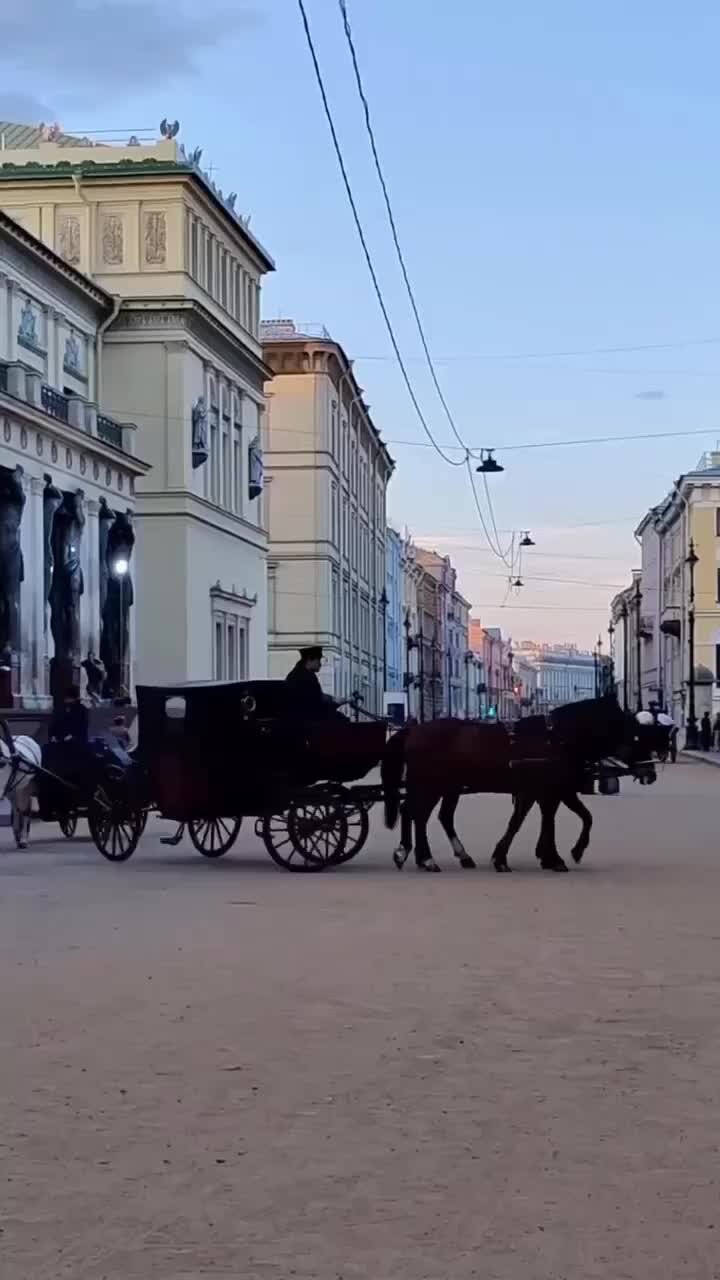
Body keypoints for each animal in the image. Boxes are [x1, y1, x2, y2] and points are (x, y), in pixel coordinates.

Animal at [379, 696, 666, 875]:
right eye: (636, 735)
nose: (650, 772)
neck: (556, 738)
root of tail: (414, 730)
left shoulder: (551, 791)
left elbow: (560, 818)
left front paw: (549, 855)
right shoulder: (544, 791)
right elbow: (525, 822)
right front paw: (555, 856)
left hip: (446, 787)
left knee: (427, 814)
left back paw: (430, 855)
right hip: (431, 785)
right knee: (418, 815)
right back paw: (425, 859)